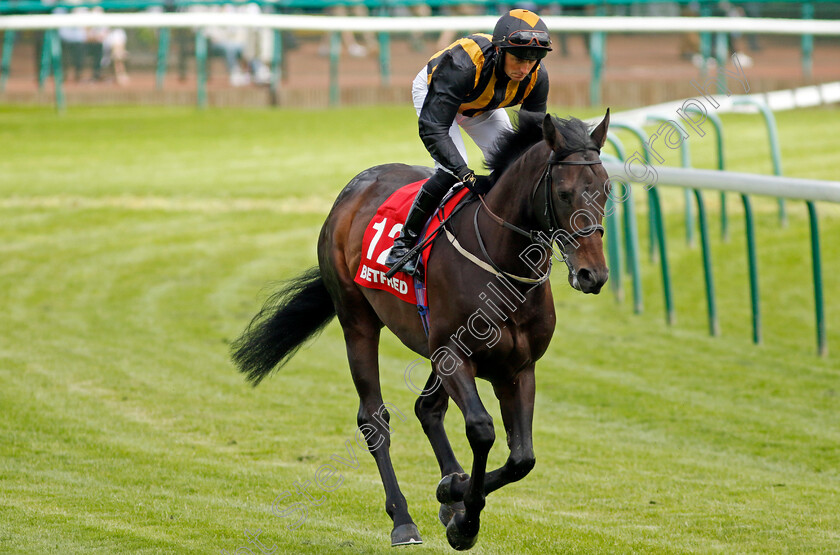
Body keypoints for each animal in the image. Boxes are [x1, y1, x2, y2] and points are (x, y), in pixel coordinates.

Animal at [230, 109, 612, 552]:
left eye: (606, 189)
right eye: (565, 193)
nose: (592, 274)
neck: (501, 266)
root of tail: (353, 188)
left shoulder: (518, 368)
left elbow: (522, 458)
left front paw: (455, 493)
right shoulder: (453, 356)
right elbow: (481, 430)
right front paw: (465, 518)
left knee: (427, 409)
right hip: (357, 320)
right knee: (373, 419)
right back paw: (403, 519)